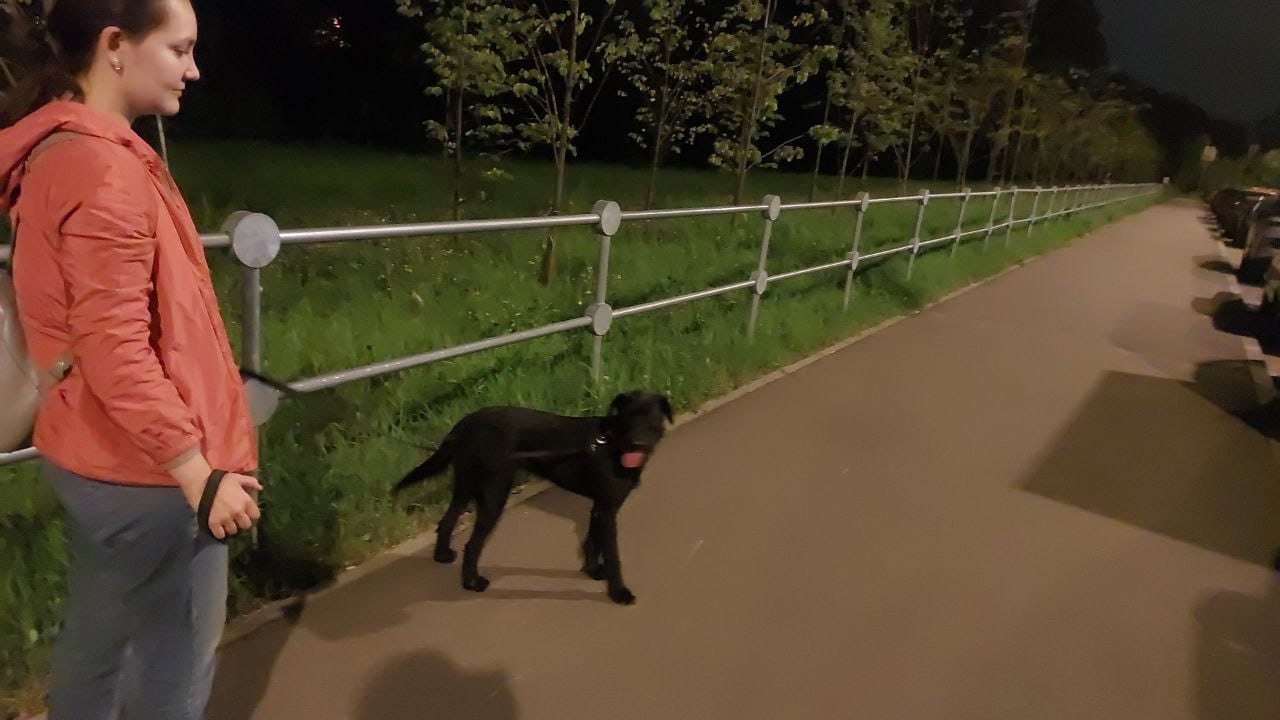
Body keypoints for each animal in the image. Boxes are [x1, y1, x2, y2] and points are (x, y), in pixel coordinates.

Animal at [394, 391, 673, 605]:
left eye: (652, 419)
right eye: (628, 419)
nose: (637, 444)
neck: (612, 444)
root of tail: (465, 424)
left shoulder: (601, 507)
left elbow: (593, 541)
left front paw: (592, 570)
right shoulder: (607, 510)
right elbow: (613, 555)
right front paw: (619, 593)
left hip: (466, 485)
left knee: (447, 520)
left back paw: (442, 555)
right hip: (494, 493)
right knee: (472, 544)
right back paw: (472, 583)